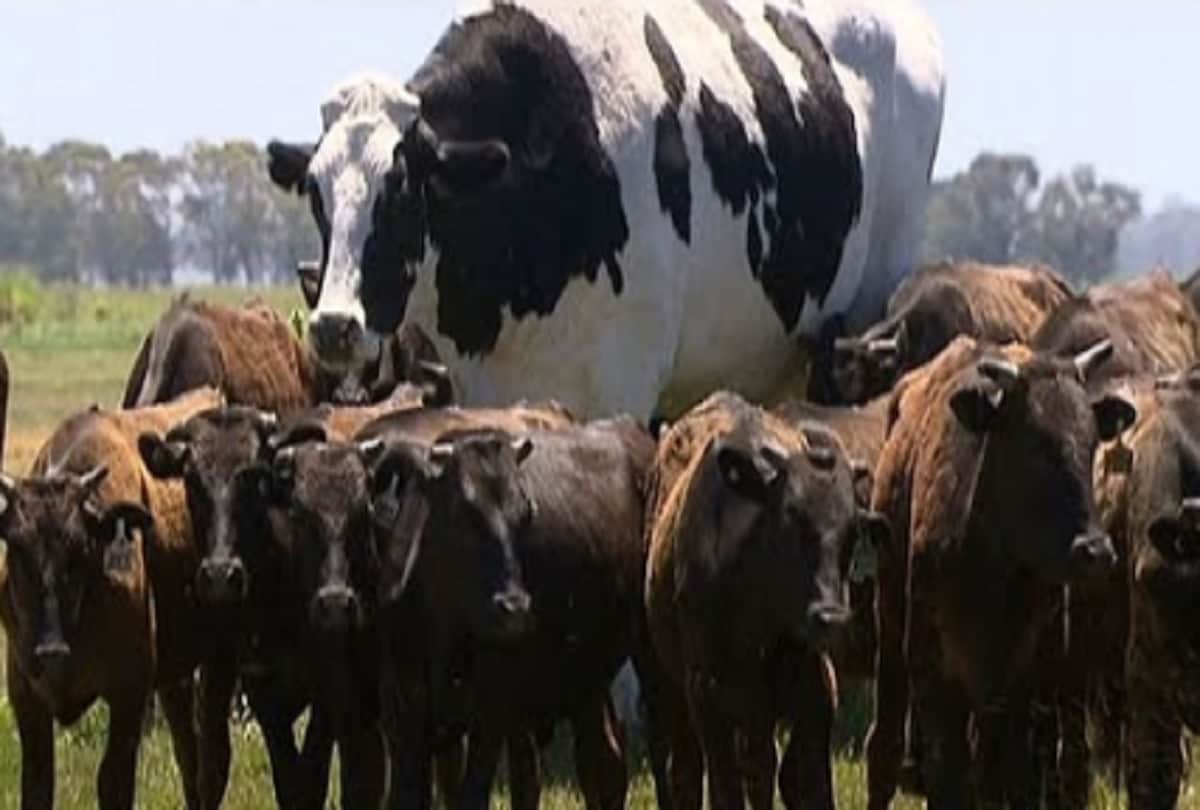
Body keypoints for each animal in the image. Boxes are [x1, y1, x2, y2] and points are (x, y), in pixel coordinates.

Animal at [0, 387, 221, 810]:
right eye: (16, 547)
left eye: (80, 547)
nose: (50, 651)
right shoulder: (26, 696)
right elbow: (37, 786)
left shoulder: (129, 693)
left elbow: (113, 782)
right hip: (176, 678)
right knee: (189, 751)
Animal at [644, 390, 886, 810]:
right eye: (790, 519)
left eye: (852, 532)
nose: (831, 617)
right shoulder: (708, 698)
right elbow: (725, 789)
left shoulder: (814, 689)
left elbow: (805, 782)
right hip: (673, 688)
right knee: (688, 773)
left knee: (760, 768)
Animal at [865, 336, 1137, 810]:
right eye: (1032, 447)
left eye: (1091, 445)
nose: (1095, 551)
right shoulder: (936, 677)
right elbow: (947, 776)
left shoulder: (1021, 687)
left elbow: (1008, 780)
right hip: (891, 624)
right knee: (884, 744)